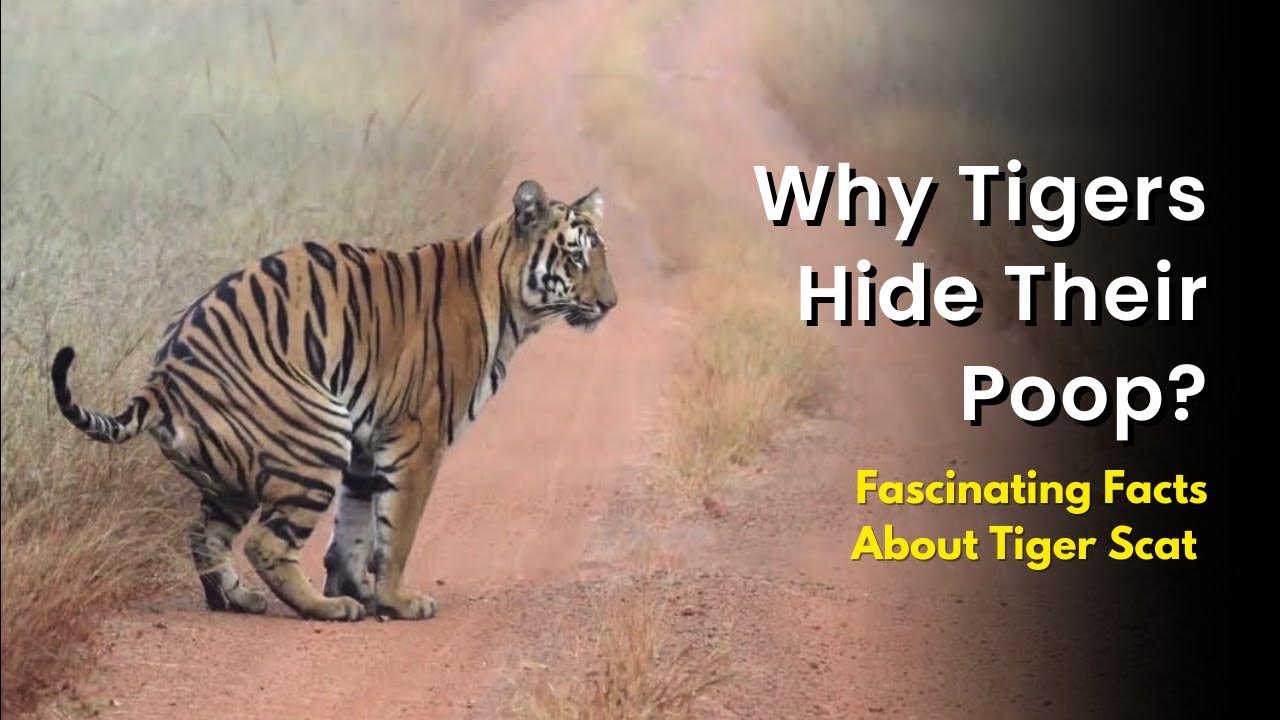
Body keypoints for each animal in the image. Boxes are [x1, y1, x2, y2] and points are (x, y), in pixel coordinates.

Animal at [49, 180, 616, 621]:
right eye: (575, 256)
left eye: (601, 254)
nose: (611, 304)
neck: (511, 305)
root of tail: (163, 375)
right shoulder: (417, 439)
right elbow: (397, 530)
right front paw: (394, 600)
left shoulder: (367, 446)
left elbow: (356, 529)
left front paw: (360, 589)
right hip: (314, 437)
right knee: (264, 543)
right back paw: (322, 609)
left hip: (237, 472)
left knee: (203, 534)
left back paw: (237, 599)